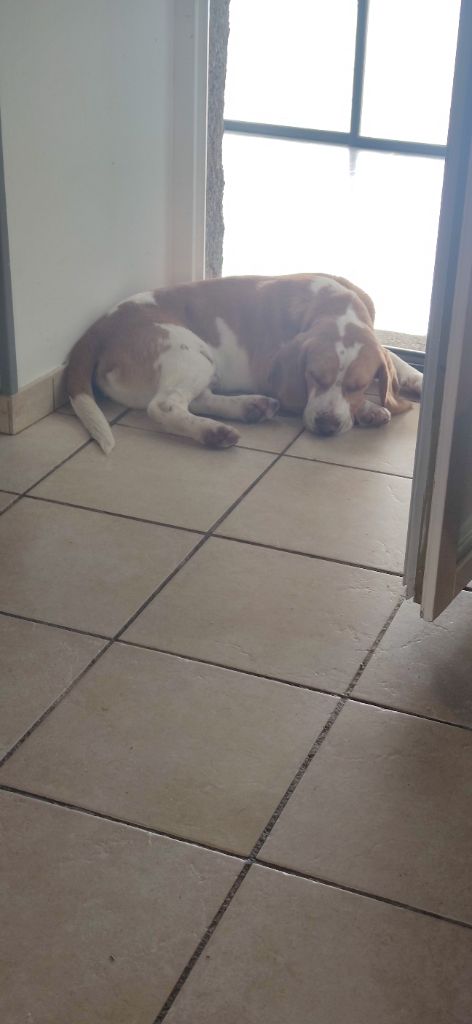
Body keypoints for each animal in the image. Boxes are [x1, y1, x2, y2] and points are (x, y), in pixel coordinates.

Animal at [66, 273, 422, 453]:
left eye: (357, 385)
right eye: (312, 376)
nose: (326, 426)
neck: (332, 304)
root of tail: (99, 328)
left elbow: (389, 353)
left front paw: (411, 378)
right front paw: (369, 409)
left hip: (202, 363)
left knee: (199, 399)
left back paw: (250, 408)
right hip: (190, 353)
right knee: (165, 406)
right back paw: (213, 432)